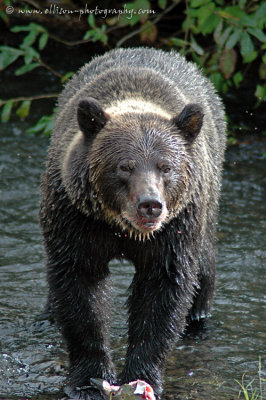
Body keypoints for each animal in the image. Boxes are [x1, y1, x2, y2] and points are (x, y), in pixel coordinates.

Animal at [39, 47, 227, 396]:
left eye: (166, 166)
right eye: (125, 166)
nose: (150, 205)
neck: (120, 228)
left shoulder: (174, 232)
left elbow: (161, 293)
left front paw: (142, 376)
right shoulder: (77, 220)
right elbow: (80, 288)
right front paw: (88, 379)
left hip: (206, 203)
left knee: (203, 266)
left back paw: (198, 321)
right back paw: (47, 317)